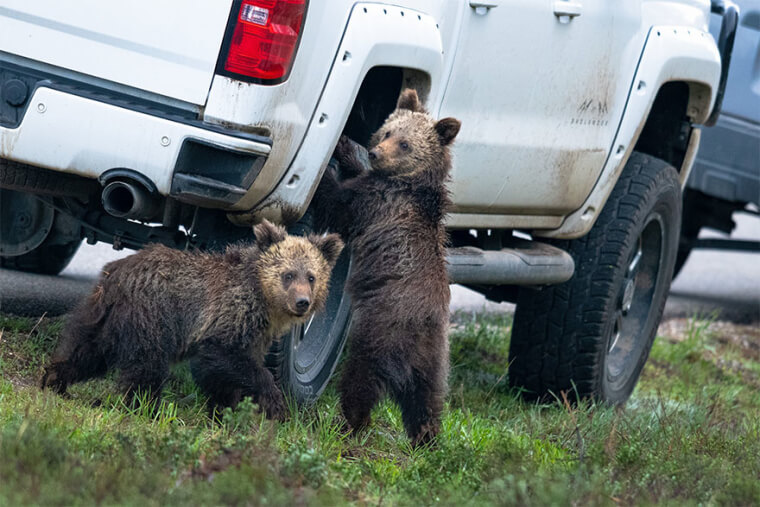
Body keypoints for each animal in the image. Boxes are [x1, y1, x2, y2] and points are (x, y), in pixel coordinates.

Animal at [40, 220, 343, 420]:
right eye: (288, 275)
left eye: (312, 276)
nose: (302, 302)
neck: (263, 299)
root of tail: (115, 274)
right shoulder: (228, 315)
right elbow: (225, 358)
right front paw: (273, 403)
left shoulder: (258, 333)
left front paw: (224, 411)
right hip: (151, 314)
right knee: (147, 366)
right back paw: (146, 408)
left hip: (104, 316)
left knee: (85, 350)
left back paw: (55, 380)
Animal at [312, 88, 461, 445]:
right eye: (389, 131)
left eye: (406, 144)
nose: (376, 152)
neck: (411, 184)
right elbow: (355, 174)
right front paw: (345, 147)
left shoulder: (377, 201)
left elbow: (338, 205)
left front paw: (325, 174)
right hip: (435, 363)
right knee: (427, 403)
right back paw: (427, 440)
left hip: (379, 336)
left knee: (359, 384)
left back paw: (346, 425)